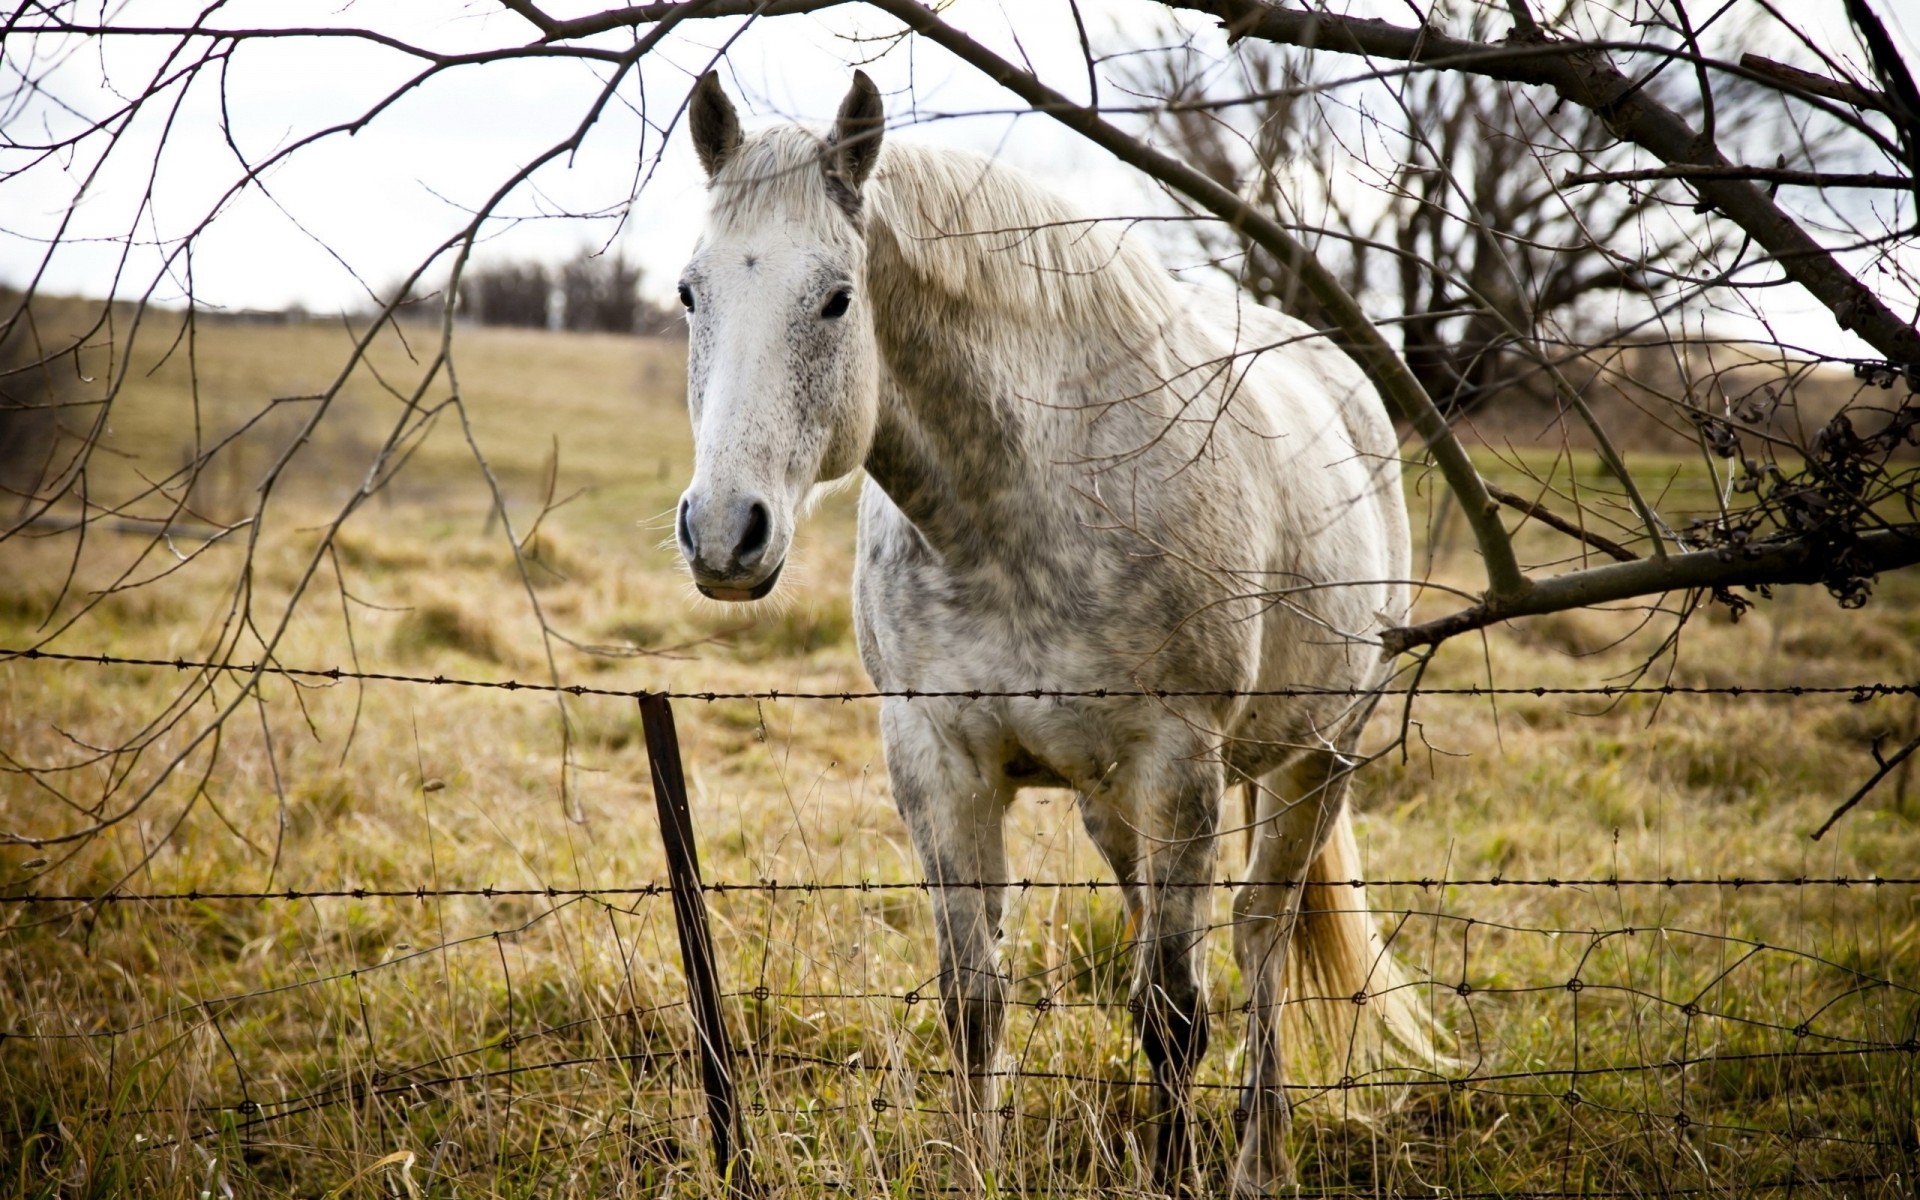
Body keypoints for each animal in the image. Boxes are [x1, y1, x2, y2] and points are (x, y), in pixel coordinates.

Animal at [672, 69, 1437, 1194]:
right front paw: (977, 1167)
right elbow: (973, 1003)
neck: (1019, 511)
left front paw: (1179, 1176)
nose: (726, 532)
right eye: (693, 293)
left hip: (1317, 757)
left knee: (1258, 937)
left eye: (837, 299)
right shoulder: (937, 762)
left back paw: (1258, 1159)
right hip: (1116, 805)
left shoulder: (1179, 763)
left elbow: (1174, 1018)